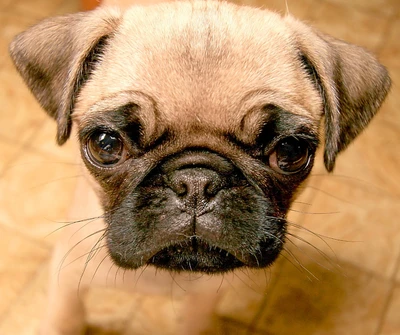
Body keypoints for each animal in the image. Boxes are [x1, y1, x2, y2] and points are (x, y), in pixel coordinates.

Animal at [8, 1, 390, 334]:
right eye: (106, 145)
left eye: (290, 151)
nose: (195, 181)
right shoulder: (67, 278)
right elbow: (65, 319)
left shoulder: (202, 303)